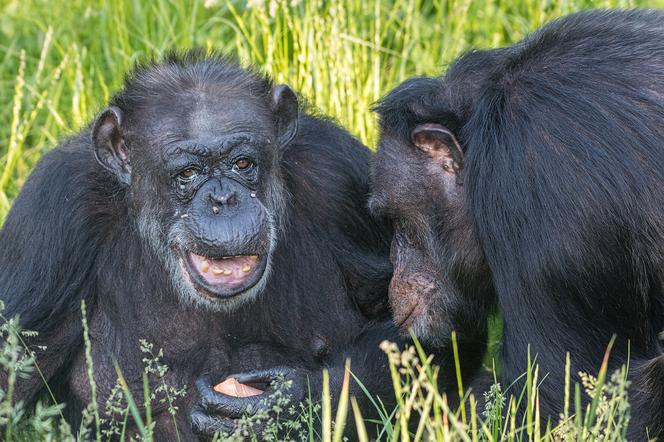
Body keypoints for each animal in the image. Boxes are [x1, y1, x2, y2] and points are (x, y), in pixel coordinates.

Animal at [0, 51, 400, 438]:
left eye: (242, 164)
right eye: (188, 173)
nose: (223, 200)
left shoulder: (340, 175)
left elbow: (407, 321)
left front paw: (289, 400)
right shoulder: (50, 215)